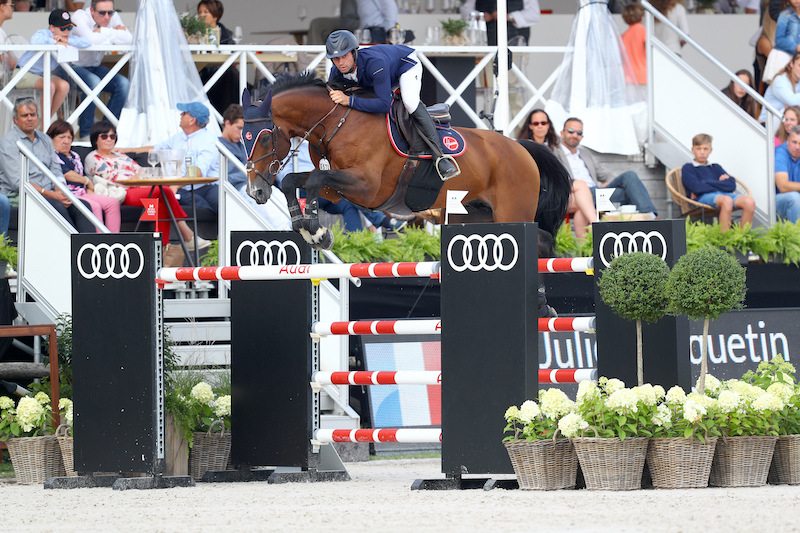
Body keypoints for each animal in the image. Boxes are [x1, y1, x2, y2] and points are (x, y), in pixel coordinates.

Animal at [241, 70, 572, 249]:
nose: (255, 191)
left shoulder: (367, 187)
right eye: (243, 137)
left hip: (512, 211)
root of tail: (521, 147)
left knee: (541, 239)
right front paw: (305, 227)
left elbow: (314, 178)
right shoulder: (336, 190)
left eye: (265, 137)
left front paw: (317, 231)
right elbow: (294, 180)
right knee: (541, 237)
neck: (337, 121)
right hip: (479, 215)